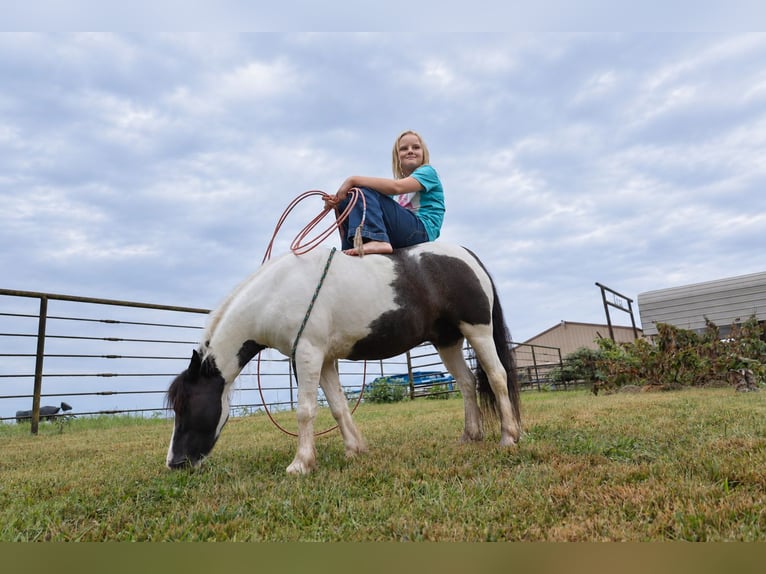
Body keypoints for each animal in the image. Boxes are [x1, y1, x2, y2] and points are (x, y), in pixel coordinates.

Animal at [166, 242, 521, 475]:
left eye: (186, 407)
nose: (174, 463)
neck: (278, 292)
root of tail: (468, 256)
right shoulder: (324, 359)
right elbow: (337, 406)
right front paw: (354, 450)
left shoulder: (308, 354)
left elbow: (306, 411)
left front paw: (301, 464)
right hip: (447, 341)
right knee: (467, 382)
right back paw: (470, 436)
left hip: (478, 330)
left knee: (496, 377)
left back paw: (509, 437)